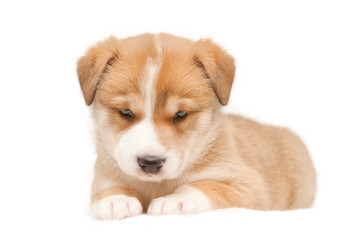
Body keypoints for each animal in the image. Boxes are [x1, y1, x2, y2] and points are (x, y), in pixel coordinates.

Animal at [76, 32, 316, 220]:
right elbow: (109, 189)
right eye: (125, 113)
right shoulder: (102, 179)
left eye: (180, 114)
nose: (150, 163)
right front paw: (116, 199)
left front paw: (174, 201)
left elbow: (205, 186)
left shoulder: (250, 187)